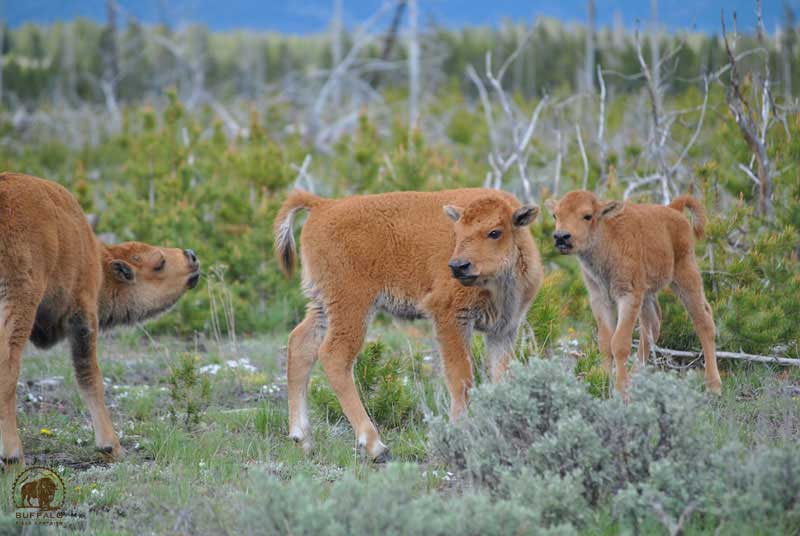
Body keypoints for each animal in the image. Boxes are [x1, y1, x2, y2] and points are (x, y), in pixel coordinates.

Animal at [0, 173, 200, 464]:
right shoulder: (83, 314)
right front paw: (110, 445)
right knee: (8, 365)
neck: (98, 260)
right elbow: (89, 375)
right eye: (159, 263)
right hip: (20, 299)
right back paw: (13, 454)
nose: (192, 256)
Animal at [276, 188, 544, 460]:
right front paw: (457, 433)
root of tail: (323, 205)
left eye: (495, 232)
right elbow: (461, 379)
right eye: (457, 231)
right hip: (352, 307)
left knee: (300, 344)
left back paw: (303, 439)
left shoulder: (504, 330)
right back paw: (376, 447)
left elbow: (502, 378)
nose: (458, 266)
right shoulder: (450, 317)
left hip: (323, 306)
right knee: (334, 356)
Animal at [548, 188, 720, 394]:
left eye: (587, 215)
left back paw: (714, 386)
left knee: (704, 322)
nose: (561, 237)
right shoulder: (600, 299)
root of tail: (674, 210)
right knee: (653, 325)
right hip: (648, 293)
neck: (607, 238)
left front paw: (621, 390)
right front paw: (602, 382)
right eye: (555, 215)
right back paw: (636, 377)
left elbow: (620, 343)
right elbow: (605, 342)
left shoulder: (628, 296)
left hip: (685, 275)